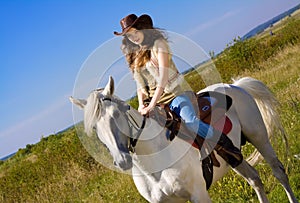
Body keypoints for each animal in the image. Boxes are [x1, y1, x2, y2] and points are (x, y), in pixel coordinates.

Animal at [70, 76, 298, 203]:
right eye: (94, 127)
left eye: (116, 114)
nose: (121, 160)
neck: (153, 167)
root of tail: (235, 86)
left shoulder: (199, 195)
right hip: (235, 159)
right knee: (255, 179)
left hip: (260, 139)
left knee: (279, 172)